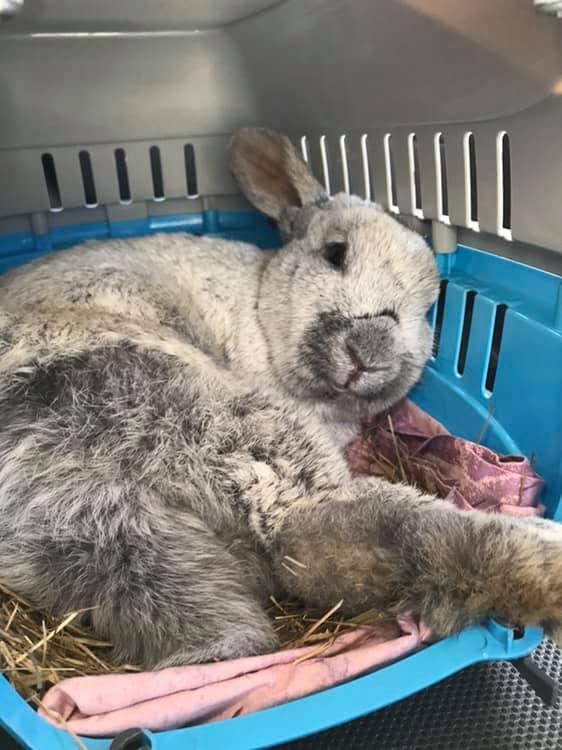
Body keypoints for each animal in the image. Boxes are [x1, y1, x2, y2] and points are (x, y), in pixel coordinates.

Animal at [0, 127, 560, 670]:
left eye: (429, 308)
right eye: (335, 253)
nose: (370, 350)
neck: (259, 304)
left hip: (88, 525)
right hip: (219, 424)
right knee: (358, 525)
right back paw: (549, 558)